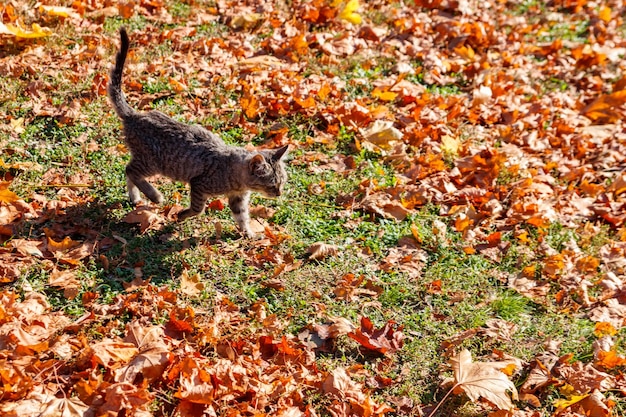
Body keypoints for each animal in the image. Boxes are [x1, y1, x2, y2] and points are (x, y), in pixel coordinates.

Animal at [107, 27, 288, 237]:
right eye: (272, 184)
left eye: (282, 182)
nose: (279, 193)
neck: (236, 178)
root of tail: (134, 115)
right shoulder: (199, 184)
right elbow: (198, 208)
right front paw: (181, 215)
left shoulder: (238, 198)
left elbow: (242, 217)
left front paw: (248, 234)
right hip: (152, 162)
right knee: (130, 170)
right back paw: (154, 196)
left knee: (129, 172)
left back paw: (136, 198)